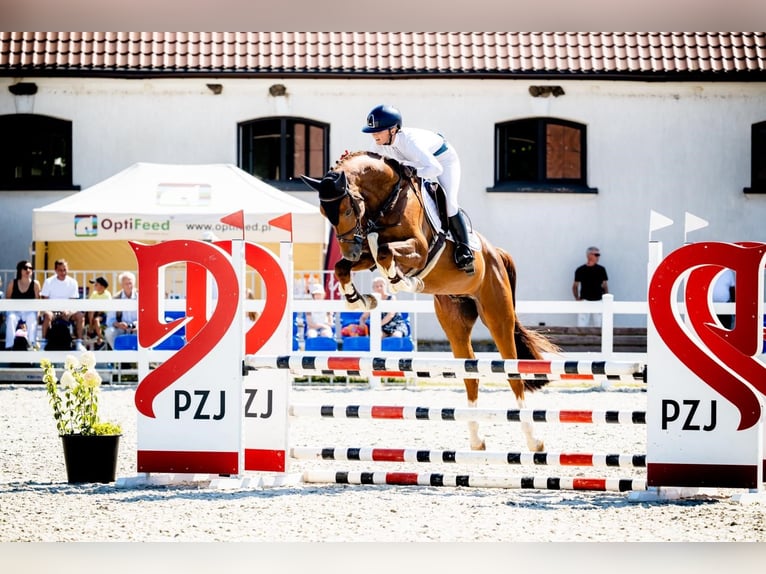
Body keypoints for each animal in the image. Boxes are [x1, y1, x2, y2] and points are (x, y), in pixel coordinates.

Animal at [301, 151, 558, 452]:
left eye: (347, 210)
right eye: (324, 214)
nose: (350, 251)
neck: (386, 201)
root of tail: (495, 252)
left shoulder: (418, 250)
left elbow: (386, 252)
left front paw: (403, 281)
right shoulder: (366, 253)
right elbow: (346, 266)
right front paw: (359, 300)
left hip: (498, 314)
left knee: (513, 373)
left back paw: (534, 440)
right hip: (455, 320)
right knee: (470, 371)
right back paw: (476, 441)